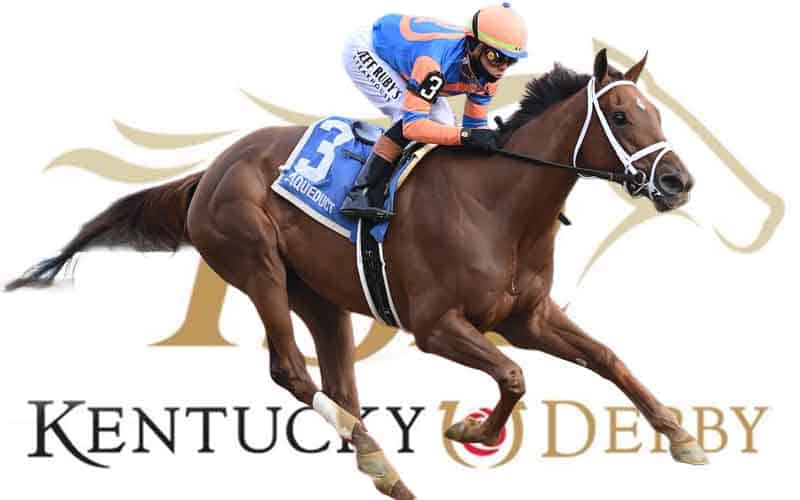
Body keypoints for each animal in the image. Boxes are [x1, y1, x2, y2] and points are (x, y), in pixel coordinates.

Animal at [6, 49, 701, 499]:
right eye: (622, 116)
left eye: (657, 114)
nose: (678, 181)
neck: (500, 206)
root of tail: (209, 170)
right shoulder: (436, 326)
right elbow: (513, 376)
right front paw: (471, 428)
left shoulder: (526, 317)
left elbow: (607, 358)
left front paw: (681, 437)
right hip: (255, 262)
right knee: (290, 369)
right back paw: (379, 461)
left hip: (320, 296)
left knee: (341, 387)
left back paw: (382, 469)